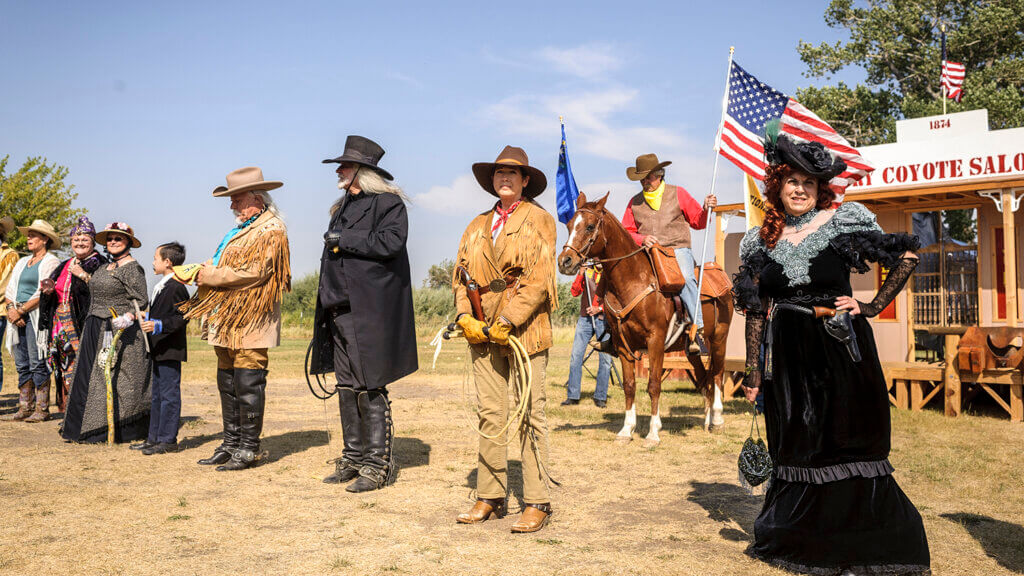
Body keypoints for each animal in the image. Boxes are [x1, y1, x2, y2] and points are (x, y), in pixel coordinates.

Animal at [557, 191, 733, 444]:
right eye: (570, 224)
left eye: (590, 226)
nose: (565, 261)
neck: (633, 280)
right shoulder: (623, 346)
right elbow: (630, 385)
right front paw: (626, 430)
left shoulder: (655, 341)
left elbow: (654, 385)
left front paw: (653, 432)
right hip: (692, 351)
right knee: (704, 378)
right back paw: (707, 421)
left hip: (719, 339)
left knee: (717, 375)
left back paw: (717, 420)